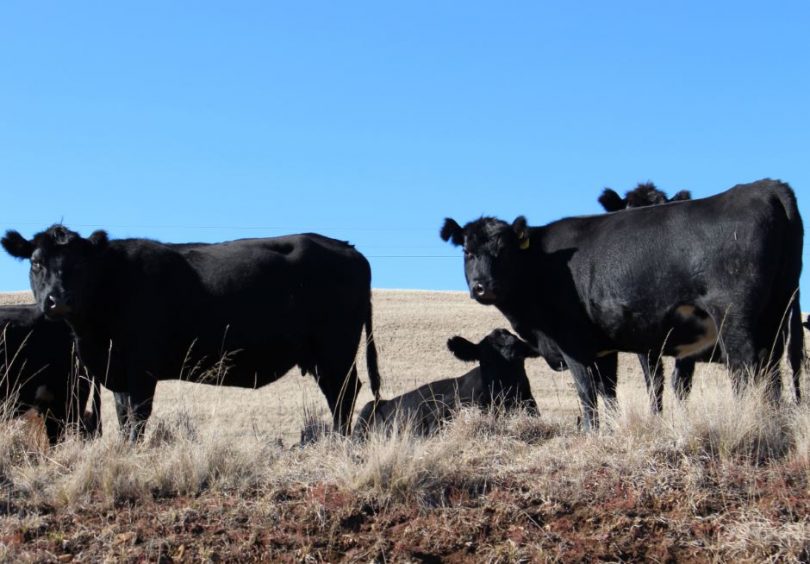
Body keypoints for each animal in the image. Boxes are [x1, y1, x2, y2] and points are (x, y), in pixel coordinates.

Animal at [442, 178, 800, 430]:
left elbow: (586, 393)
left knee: (746, 369)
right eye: (468, 252)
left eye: (503, 251)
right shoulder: (604, 347)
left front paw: (591, 433)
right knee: (773, 371)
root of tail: (767, 185)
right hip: (778, 311)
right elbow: (609, 392)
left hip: (734, 318)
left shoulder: (572, 343)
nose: (483, 286)